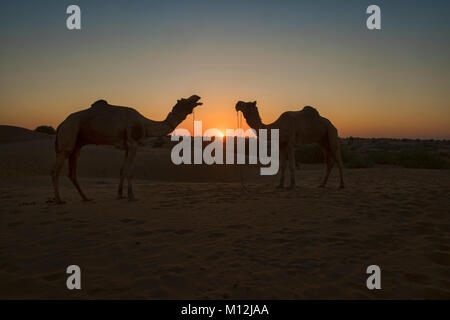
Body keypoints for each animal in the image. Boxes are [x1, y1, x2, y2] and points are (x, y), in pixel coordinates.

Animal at [50, 95, 202, 204]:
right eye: (186, 101)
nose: (197, 97)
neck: (145, 124)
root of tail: (61, 124)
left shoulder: (128, 146)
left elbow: (122, 170)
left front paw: (120, 194)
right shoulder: (133, 143)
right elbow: (130, 171)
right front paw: (131, 196)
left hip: (77, 144)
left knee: (72, 171)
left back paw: (86, 198)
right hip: (68, 136)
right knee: (56, 170)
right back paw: (59, 200)